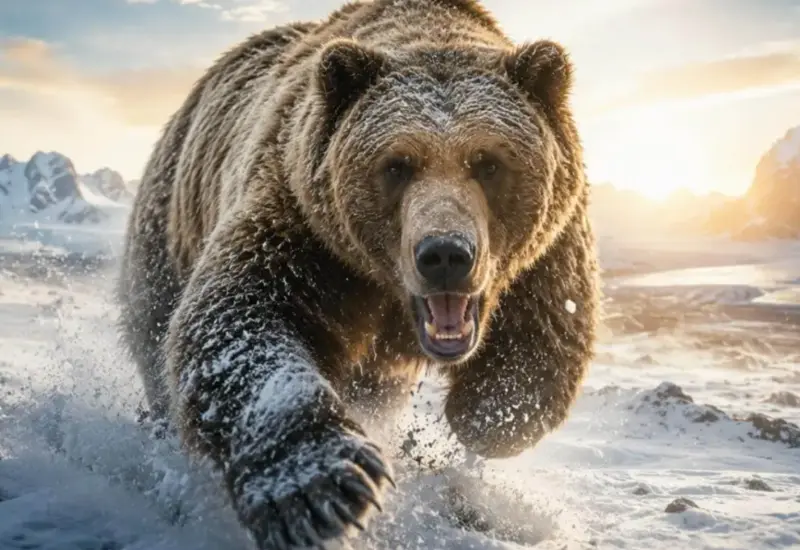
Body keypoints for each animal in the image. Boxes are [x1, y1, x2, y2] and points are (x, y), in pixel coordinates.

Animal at [116, 0, 600, 548]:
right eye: (397, 164)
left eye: (488, 161)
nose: (445, 255)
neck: (388, 292)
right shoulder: (305, 229)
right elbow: (240, 319)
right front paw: (322, 491)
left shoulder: (547, 252)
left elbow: (544, 344)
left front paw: (479, 416)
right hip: (170, 223)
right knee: (158, 336)